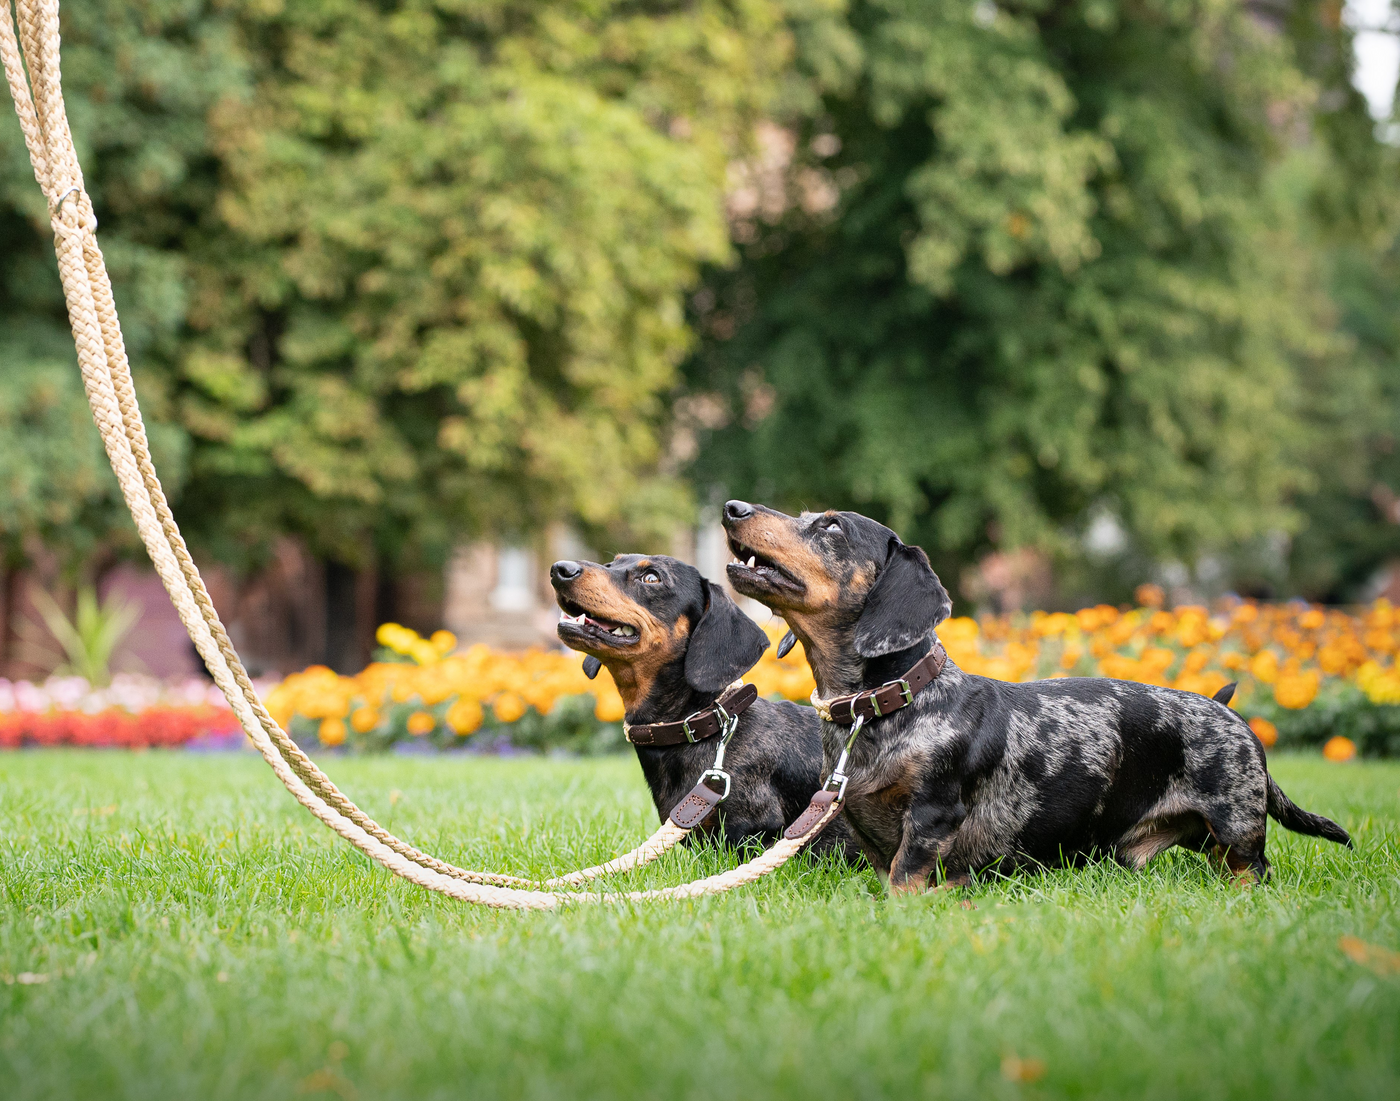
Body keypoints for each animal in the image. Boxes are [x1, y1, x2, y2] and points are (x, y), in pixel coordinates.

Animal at [722, 501, 1344, 885]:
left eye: (832, 528)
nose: (732, 508)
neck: (892, 703)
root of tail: (1228, 712)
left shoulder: (930, 817)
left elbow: (906, 877)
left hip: (1236, 827)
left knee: (1252, 869)